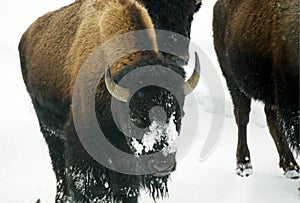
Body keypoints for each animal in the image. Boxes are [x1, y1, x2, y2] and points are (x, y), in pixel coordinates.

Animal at [19, 0, 202, 203]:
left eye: (178, 114)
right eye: (135, 116)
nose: (163, 165)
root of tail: (27, 35)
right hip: (50, 131)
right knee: (59, 168)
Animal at [212, 0, 298, 178]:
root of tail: (218, 5)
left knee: (271, 118)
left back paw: (291, 167)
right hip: (233, 81)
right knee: (242, 116)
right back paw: (244, 165)